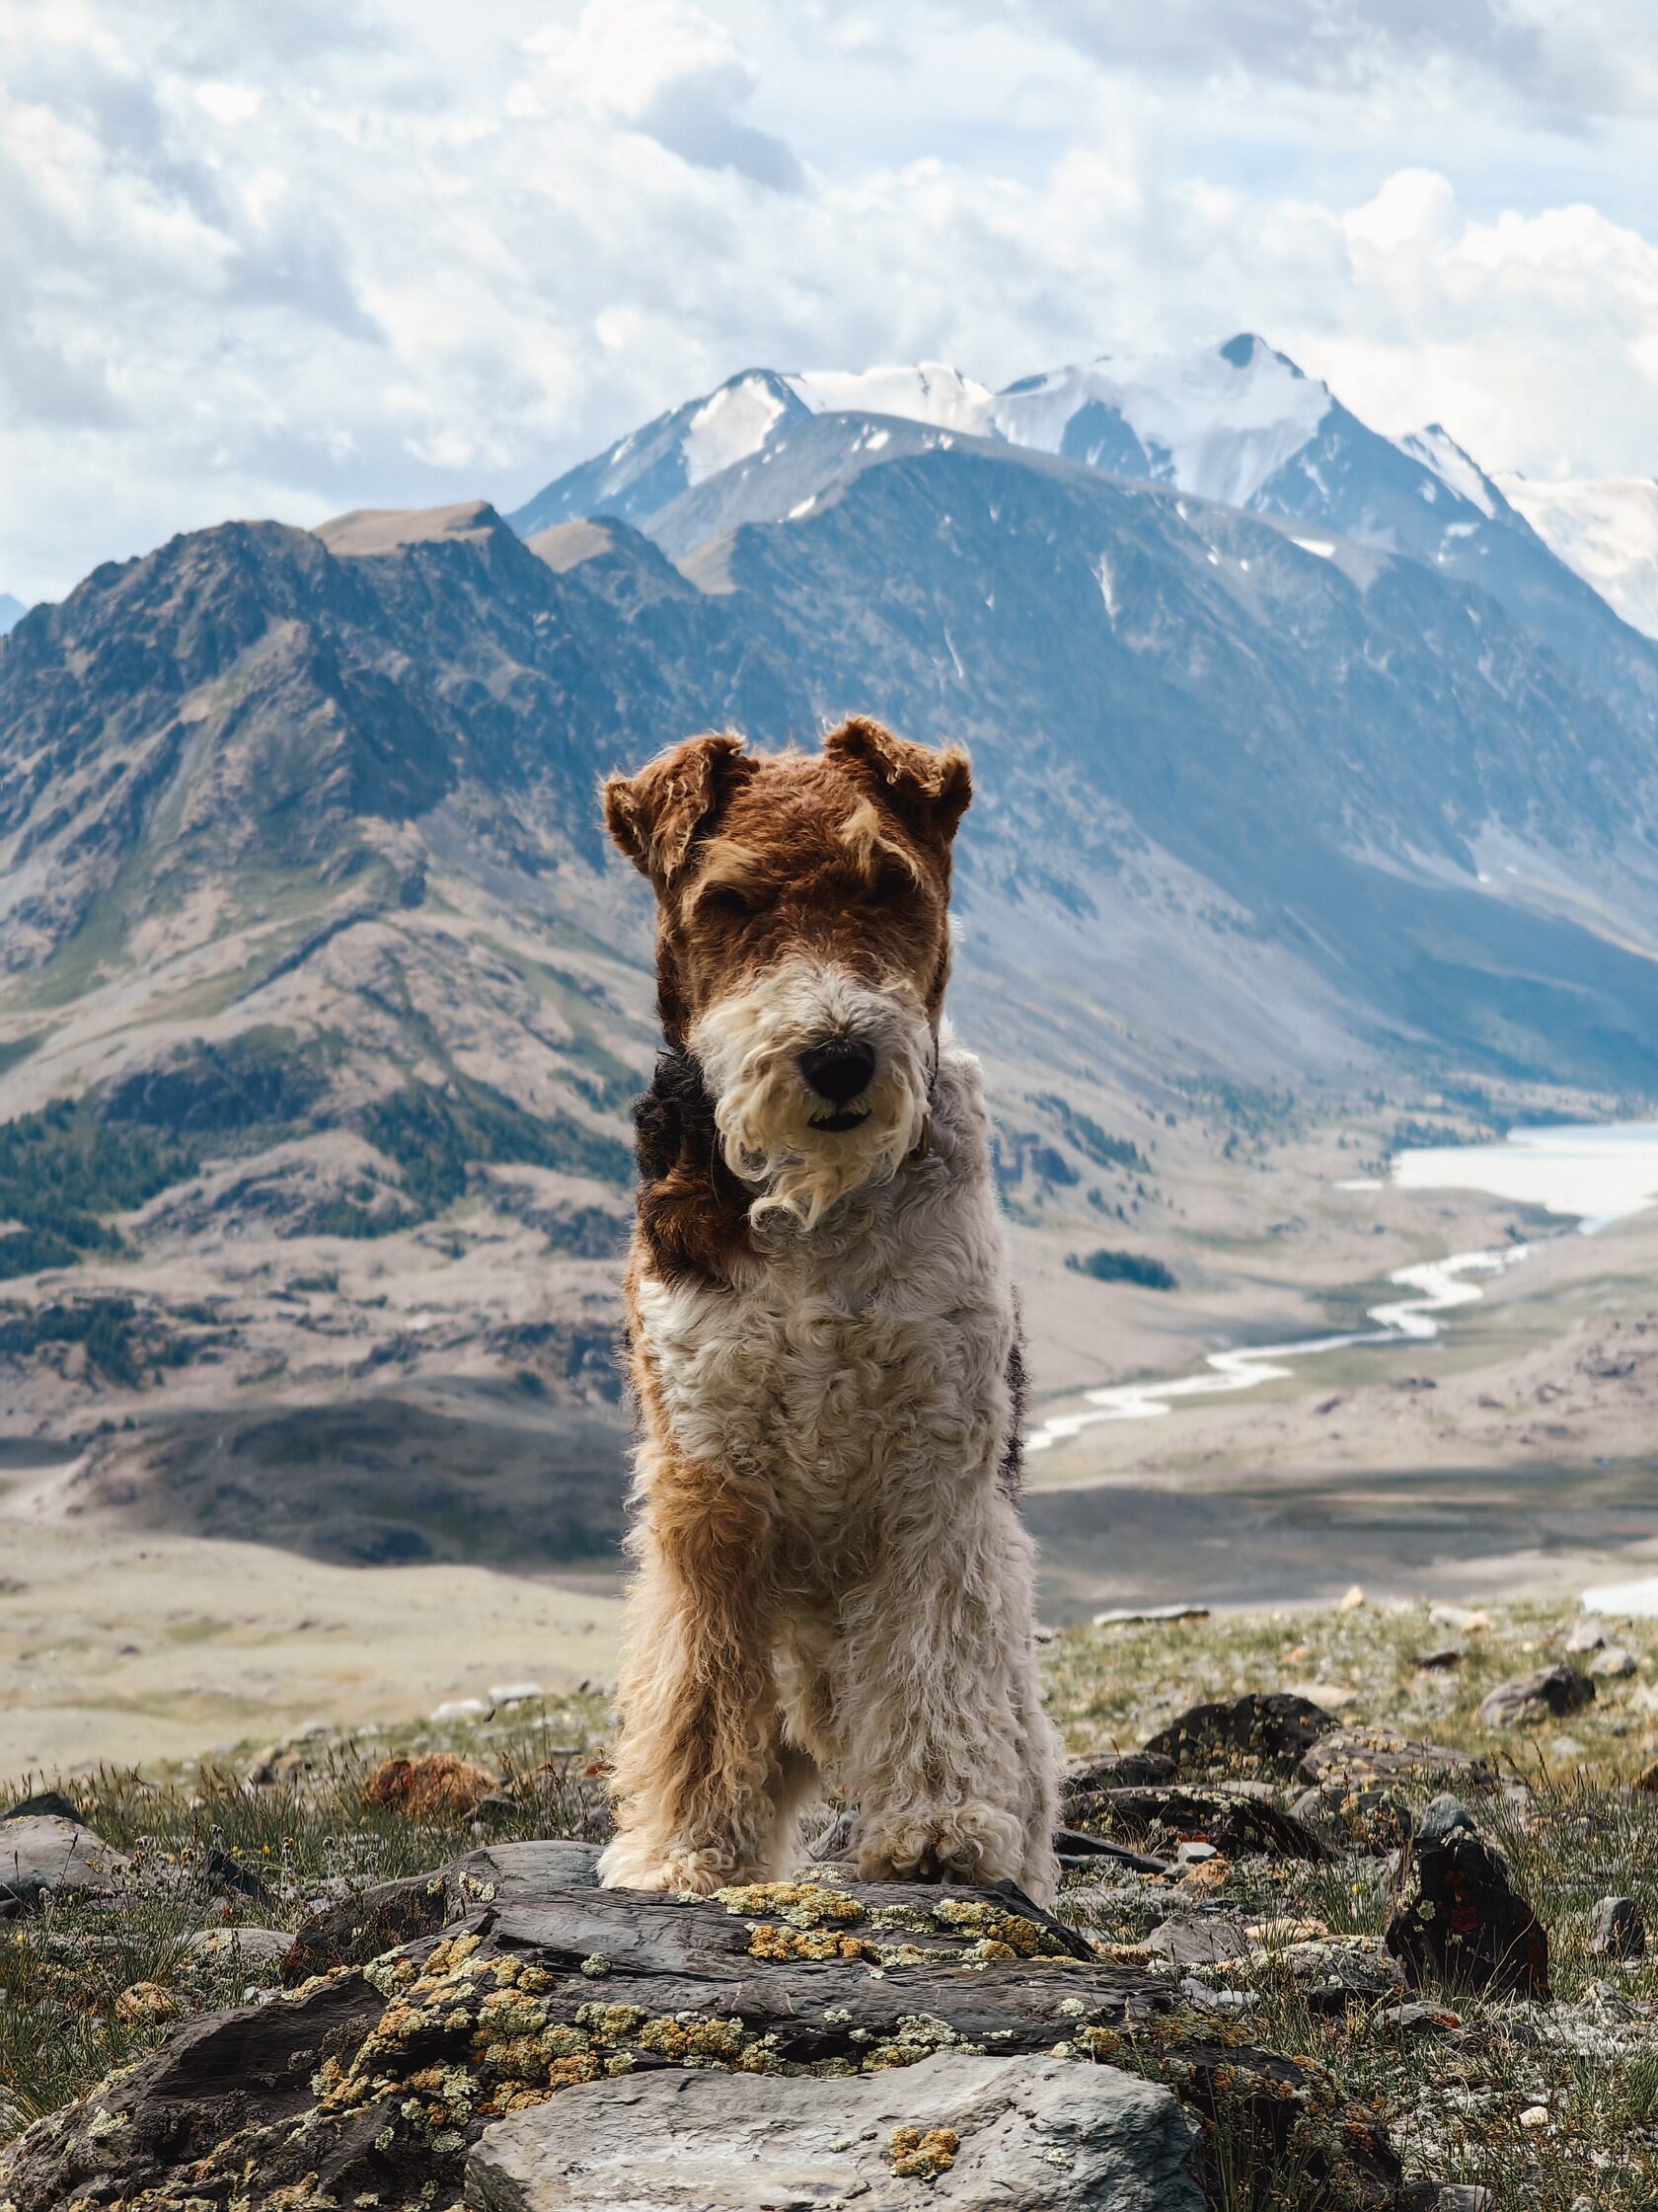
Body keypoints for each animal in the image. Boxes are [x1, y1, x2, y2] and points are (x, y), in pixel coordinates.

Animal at [596, 708, 1065, 1902]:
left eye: (890, 882)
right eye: (730, 899)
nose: (840, 1058)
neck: (816, 1212)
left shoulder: (937, 1467)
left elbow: (936, 1656)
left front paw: (941, 1825)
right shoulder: (705, 1477)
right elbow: (700, 1679)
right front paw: (685, 1849)